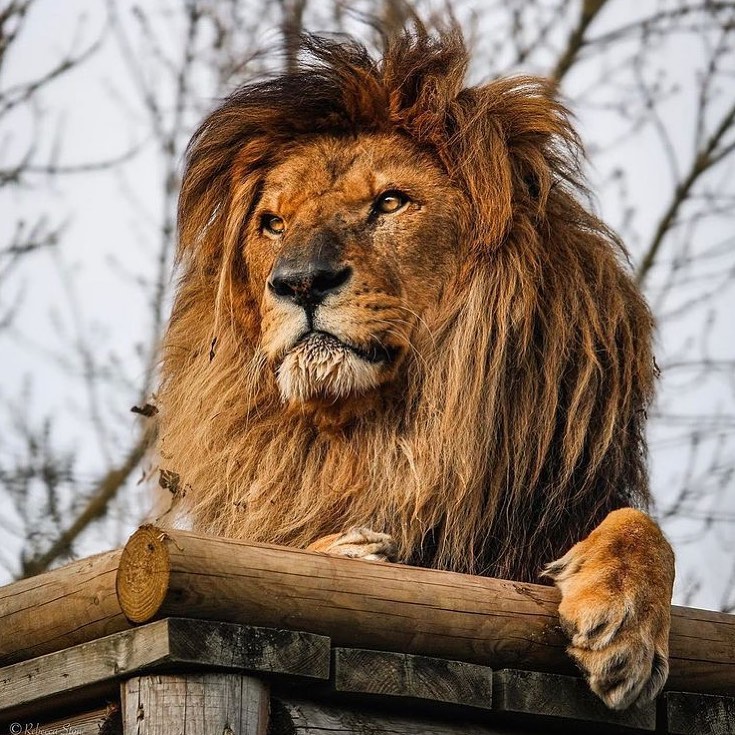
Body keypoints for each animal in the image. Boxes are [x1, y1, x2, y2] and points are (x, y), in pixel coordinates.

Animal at [157, 29, 675, 711]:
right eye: (273, 223)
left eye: (390, 202)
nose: (299, 282)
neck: (391, 436)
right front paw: (347, 549)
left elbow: (644, 528)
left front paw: (626, 628)